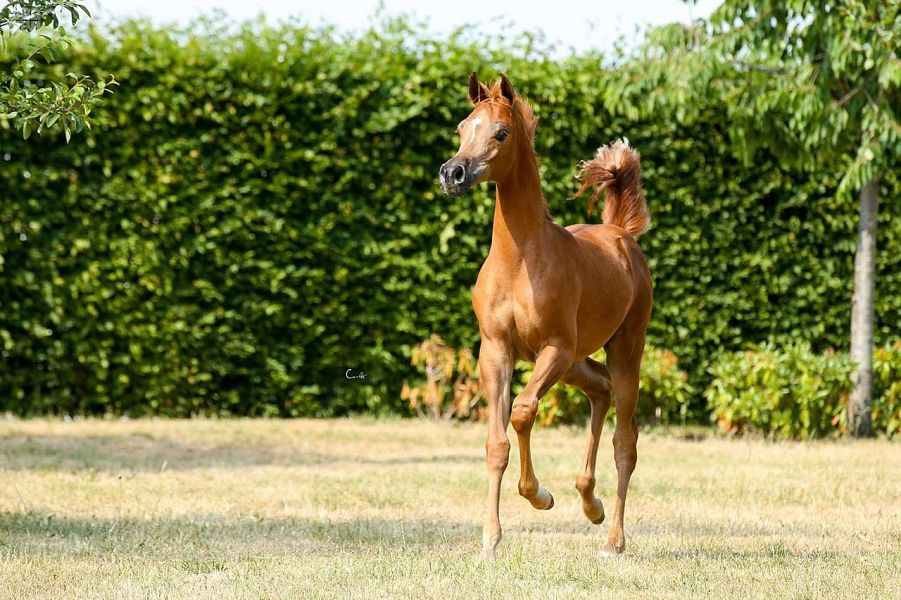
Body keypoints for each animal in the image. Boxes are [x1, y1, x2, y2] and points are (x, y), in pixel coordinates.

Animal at [438, 72, 652, 560]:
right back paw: (590, 503)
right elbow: (496, 443)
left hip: (622, 351)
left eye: (501, 132)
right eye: (461, 127)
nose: (453, 173)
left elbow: (522, 411)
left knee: (625, 442)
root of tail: (621, 235)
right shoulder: (495, 351)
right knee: (600, 392)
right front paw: (490, 540)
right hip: (576, 363)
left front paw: (539, 496)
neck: (519, 261)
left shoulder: (553, 348)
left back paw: (613, 539)